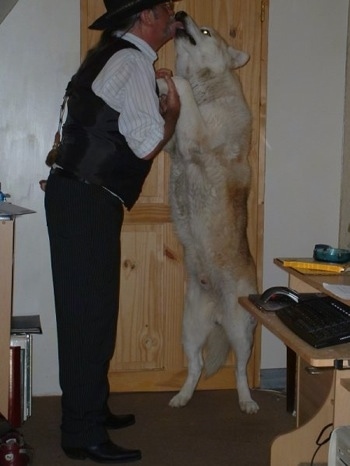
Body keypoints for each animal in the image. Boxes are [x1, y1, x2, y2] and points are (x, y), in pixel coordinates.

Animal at [157, 10, 258, 414]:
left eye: (204, 31)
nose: (180, 12)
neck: (209, 89)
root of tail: (216, 309)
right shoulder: (173, 147)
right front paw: (161, 85)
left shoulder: (196, 139)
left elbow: (183, 88)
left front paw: (171, 78)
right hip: (189, 330)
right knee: (196, 366)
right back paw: (182, 396)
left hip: (240, 332)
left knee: (240, 370)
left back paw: (247, 401)